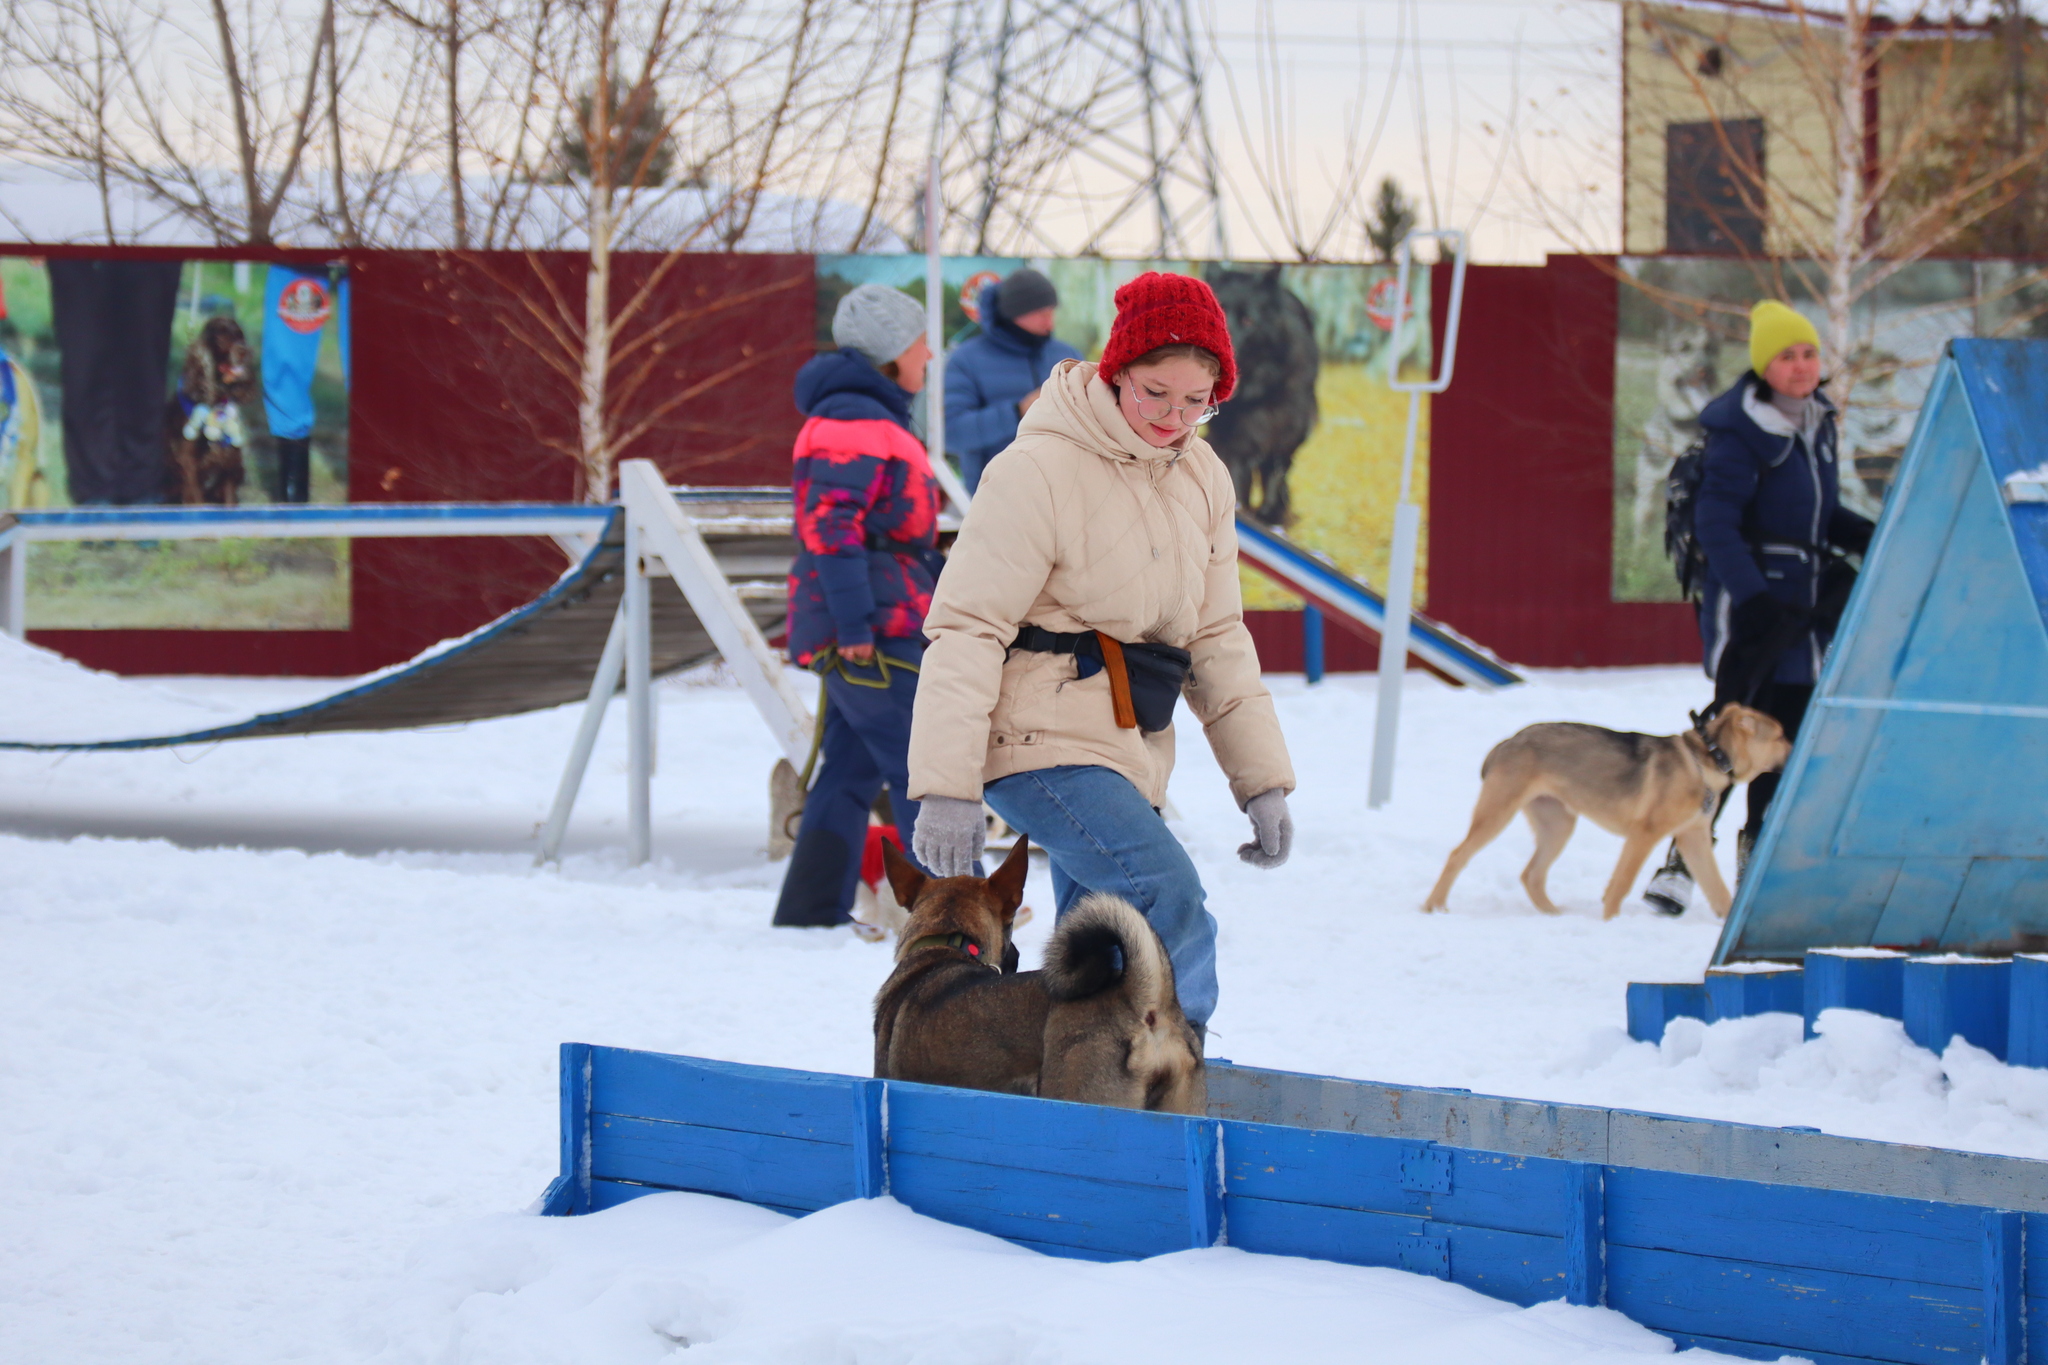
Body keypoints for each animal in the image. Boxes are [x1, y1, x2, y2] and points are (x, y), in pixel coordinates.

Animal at [165, 317, 253, 507]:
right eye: (221, 339)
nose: (244, 351)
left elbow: (229, 499)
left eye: (240, 335)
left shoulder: (229, 460)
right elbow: (196, 499)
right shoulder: (188, 461)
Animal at [1425, 703, 1794, 916]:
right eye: (1779, 736)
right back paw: (1434, 906)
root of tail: (1507, 742)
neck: (1706, 760)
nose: (1796, 748)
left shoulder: (1693, 838)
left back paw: (1554, 915)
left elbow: (1718, 891)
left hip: (1558, 824)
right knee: (1458, 855)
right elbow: (1621, 884)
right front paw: (1609, 921)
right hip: (1499, 812)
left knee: (1531, 874)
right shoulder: (1644, 834)